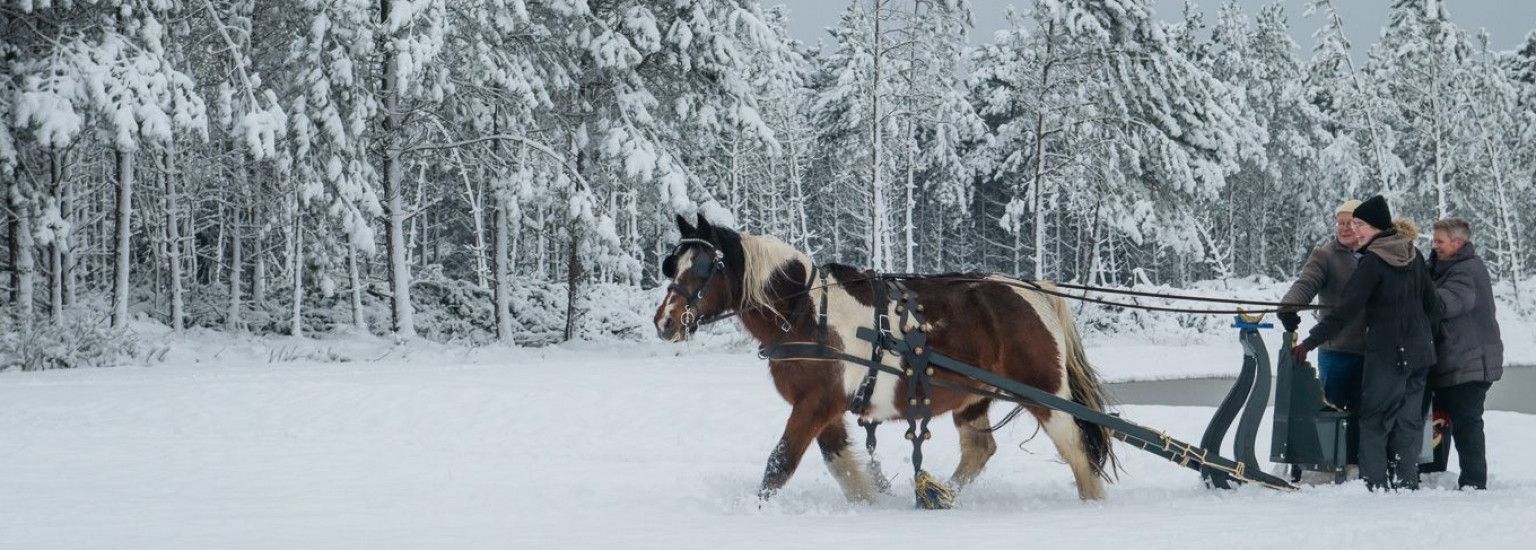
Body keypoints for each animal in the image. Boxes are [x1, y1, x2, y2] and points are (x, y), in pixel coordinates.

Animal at [657, 216, 1118, 503]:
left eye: (703, 267)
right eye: (672, 266)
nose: (664, 321)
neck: (805, 311)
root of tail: (1032, 289)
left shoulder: (816, 403)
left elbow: (781, 462)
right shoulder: (824, 407)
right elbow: (841, 464)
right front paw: (870, 503)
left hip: (1043, 392)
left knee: (1076, 449)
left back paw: (1092, 504)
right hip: (973, 396)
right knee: (980, 449)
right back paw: (941, 495)